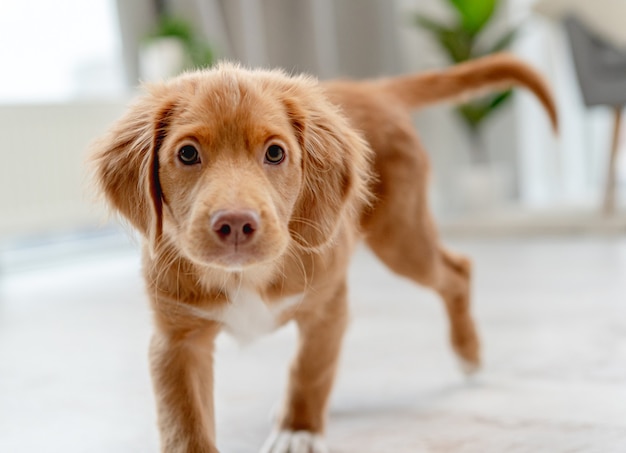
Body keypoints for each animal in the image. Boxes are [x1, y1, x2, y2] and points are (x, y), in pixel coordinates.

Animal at [90, 53, 552, 452]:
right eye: (187, 153)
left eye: (275, 152)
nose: (236, 224)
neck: (246, 275)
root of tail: (372, 89)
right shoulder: (176, 340)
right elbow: (183, 419)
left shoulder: (327, 304)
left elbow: (310, 367)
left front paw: (299, 430)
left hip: (402, 238)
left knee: (457, 269)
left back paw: (468, 353)